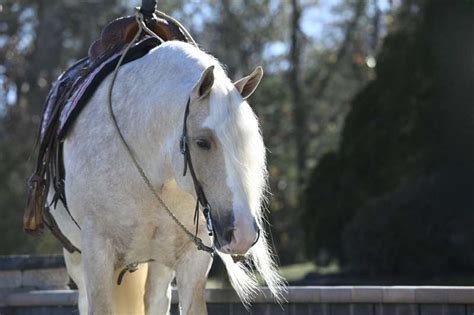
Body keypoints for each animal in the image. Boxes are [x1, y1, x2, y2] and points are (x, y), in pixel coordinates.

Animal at [48, 40, 286, 315]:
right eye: (202, 142)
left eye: (246, 143)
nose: (242, 233)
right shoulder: (97, 253)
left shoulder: (193, 258)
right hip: (76, 257)